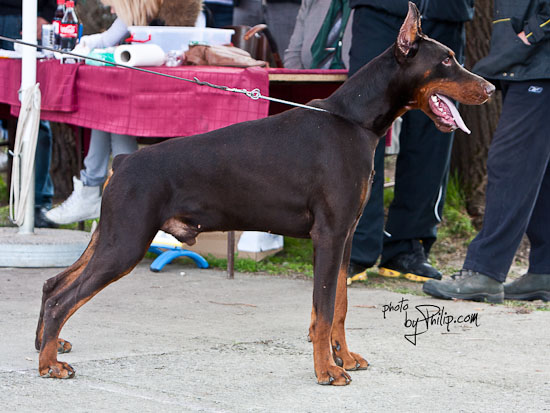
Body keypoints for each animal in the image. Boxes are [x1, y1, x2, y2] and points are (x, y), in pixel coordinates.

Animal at [36, 2, 498, 384]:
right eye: (447, 60)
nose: (491, 88)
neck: (355, 120)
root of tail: (124, 162)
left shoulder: (345, 236)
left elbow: (340, 306)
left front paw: (344, 358)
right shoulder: (329, 235)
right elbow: (324, 309)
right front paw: (327, 371)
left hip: (110, 235)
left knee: (55, 283)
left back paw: (47, 346)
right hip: (127, 240)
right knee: (63, 298)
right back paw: (49, 364)